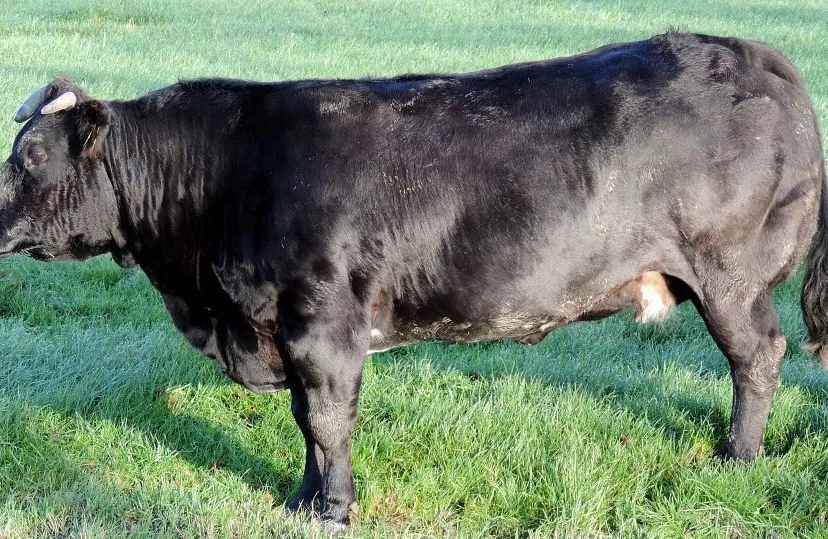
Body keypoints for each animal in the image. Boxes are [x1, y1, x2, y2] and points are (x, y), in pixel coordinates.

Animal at [1, 31, 825, 531]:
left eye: (31, 155)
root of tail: (752, 55)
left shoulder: (322, 321)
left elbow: (326, 420)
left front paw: (334, 509)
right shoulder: (293, 334)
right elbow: (305, 420)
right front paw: (302, 500)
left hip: (732, 276)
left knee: (758, 356)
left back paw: (737, 456)